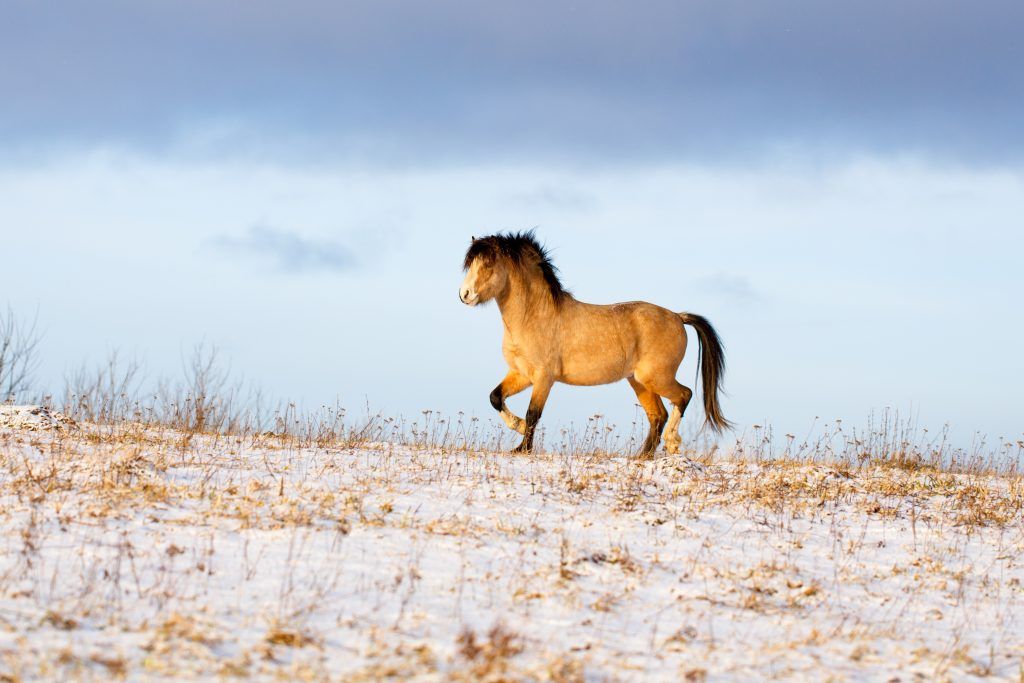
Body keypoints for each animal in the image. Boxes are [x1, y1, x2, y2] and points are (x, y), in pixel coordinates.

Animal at [460, 231, 733, 458]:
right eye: (470, 264)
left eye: (488, 264)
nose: (464, 295)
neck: (534, 316)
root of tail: (677, 316)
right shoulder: (521, 374)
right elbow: (495, 397)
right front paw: (518, 427)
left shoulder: (544, 377)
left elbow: (533, 413)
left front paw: (522, 448)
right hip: (639, 382)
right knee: (658, 415)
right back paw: (642, 456)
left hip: (656, 377)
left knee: (683, 396)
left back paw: (673, 442)